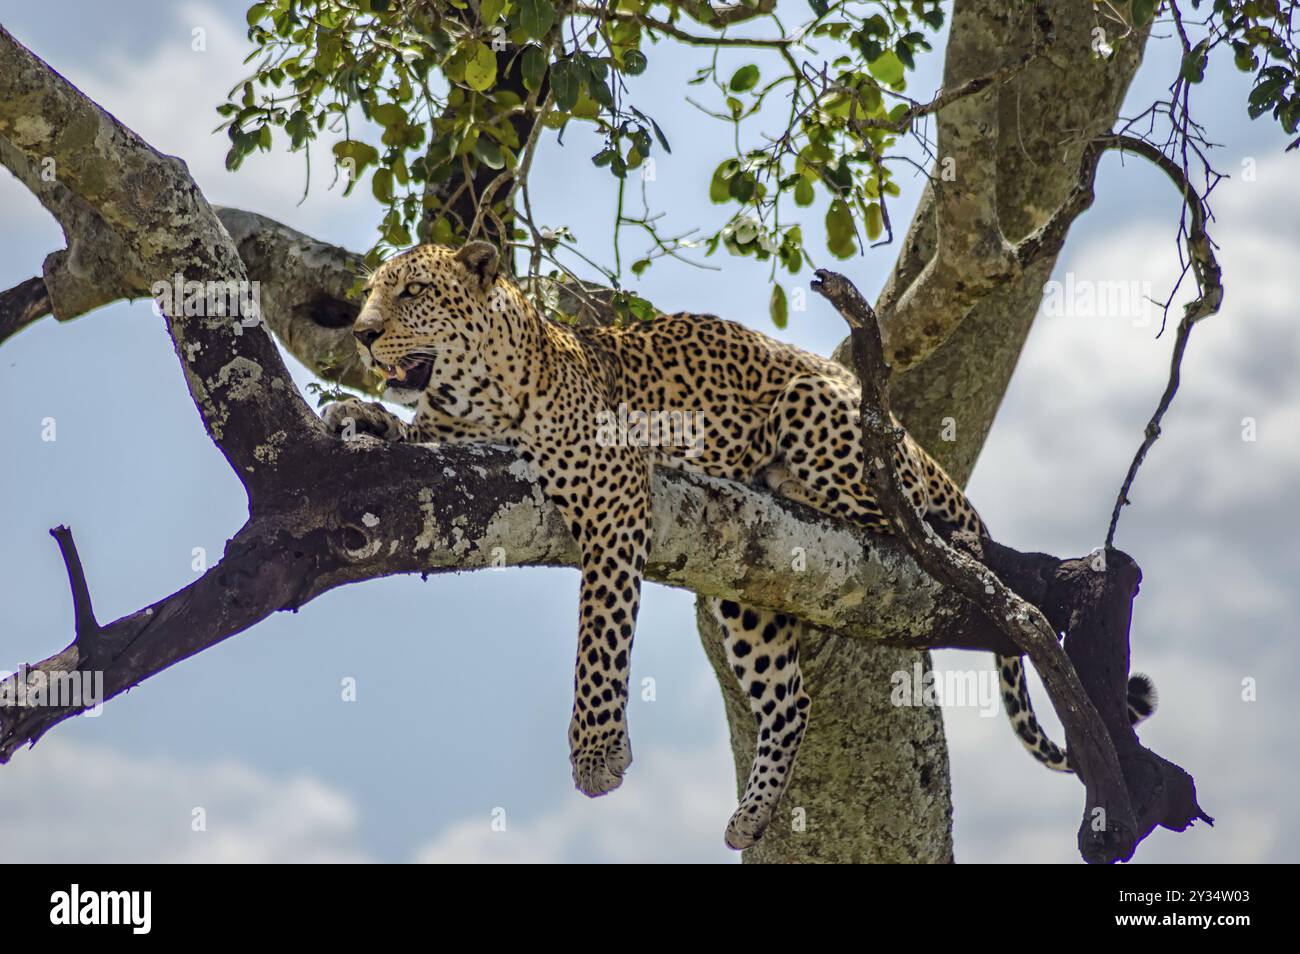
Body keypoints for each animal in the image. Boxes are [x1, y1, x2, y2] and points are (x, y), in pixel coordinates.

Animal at [325, 240, 1159, 852]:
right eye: (371, 294)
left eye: (411, 292)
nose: (361, 334)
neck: (477, 396)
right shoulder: (448, 438)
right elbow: (406, 431)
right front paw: (359, 416)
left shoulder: (614, 498)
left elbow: (598, 637)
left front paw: (596, 754)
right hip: (743, 591)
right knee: (790, 699)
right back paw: (753, 814)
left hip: (826, 431)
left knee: (920, 518)